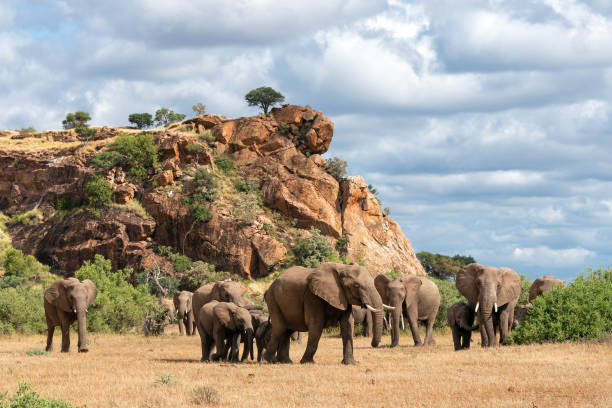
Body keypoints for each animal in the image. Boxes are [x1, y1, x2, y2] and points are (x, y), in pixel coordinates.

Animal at [262, 262, 392, 364]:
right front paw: (308, 362)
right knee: (279, 329)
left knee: (287, 331)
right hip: (273, 300)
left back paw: (286, 362)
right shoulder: (312, 296)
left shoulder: (343, 297)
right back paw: (267, 361)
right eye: (356, 285)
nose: (373, 345)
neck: (342, 268)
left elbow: (348, 325)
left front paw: (351, 363)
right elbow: (316, 325)